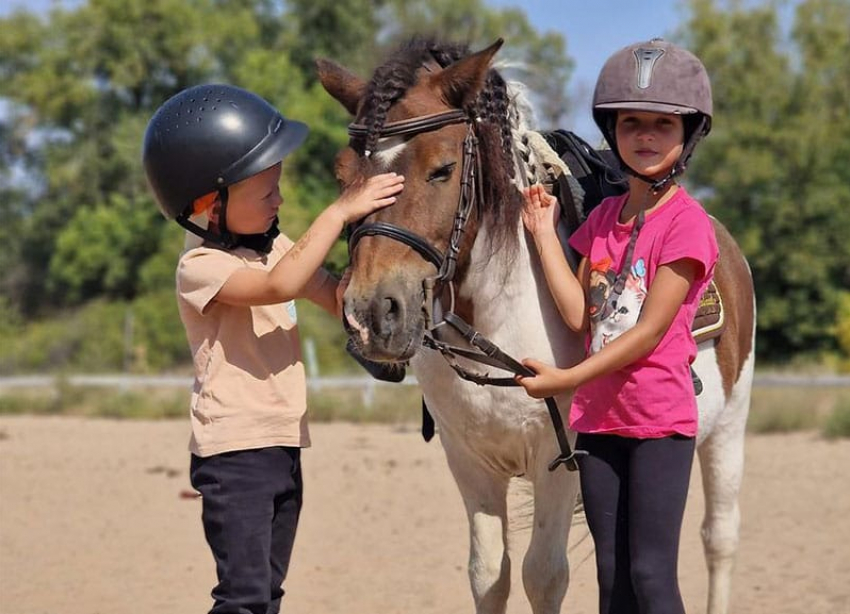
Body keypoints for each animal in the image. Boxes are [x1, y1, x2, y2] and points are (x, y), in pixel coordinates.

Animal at [317, 37, 756, 614]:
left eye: (442, 168)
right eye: (343, 175)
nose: (372, 312)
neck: (497, 321)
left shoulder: (560, 460)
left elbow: (543, 576)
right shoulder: (470, 463)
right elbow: (489, 574)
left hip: (727, 429)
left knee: (719, 539)